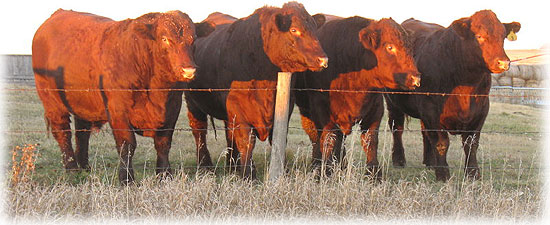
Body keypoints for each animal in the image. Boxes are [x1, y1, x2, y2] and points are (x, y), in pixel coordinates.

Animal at [31, 9, 215, 185]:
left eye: (194, 39)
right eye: (165, 39)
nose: (188, 70)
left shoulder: (172, 108)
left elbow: (163, 144)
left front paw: (165, 176)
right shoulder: (118, 111)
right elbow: (127, 146)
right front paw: (126, 179)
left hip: (84, 102)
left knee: (82, 132)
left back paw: (84, 166)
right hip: (53, 101)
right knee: (63, 132)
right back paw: (72, 168)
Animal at [188, 0, 330, 178]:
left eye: (314, 29)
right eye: (294, 29)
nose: (323, 59)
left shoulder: (286, 104)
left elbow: (277, 138)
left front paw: (281, 171)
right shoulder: (237, 107)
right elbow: (247, 141)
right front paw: (249, 175)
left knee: (229, 135)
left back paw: (231, 166)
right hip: (193, 102)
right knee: (199, 132)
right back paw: (205, 166)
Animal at [298, 15, 422, 178]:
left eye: (410, 48)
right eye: (390, 47)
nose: (415, 78)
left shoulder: (376, 109)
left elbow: (370, 141)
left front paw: (374, 174)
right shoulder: (321, 109)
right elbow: (328, 139)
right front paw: (326, 172)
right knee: (315, 136)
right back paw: (317, 164)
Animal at [384, 9, 520, 181]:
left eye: (503, 36)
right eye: (479, 36)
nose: (503, 62)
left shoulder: (482, 109)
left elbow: (471, 144)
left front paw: (473, 174)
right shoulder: (431, 108)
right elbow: (441, 142)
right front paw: (443, 174)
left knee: (424, 132)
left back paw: (430, 161)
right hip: (393, 102)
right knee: (397, 128)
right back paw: (399, 160)